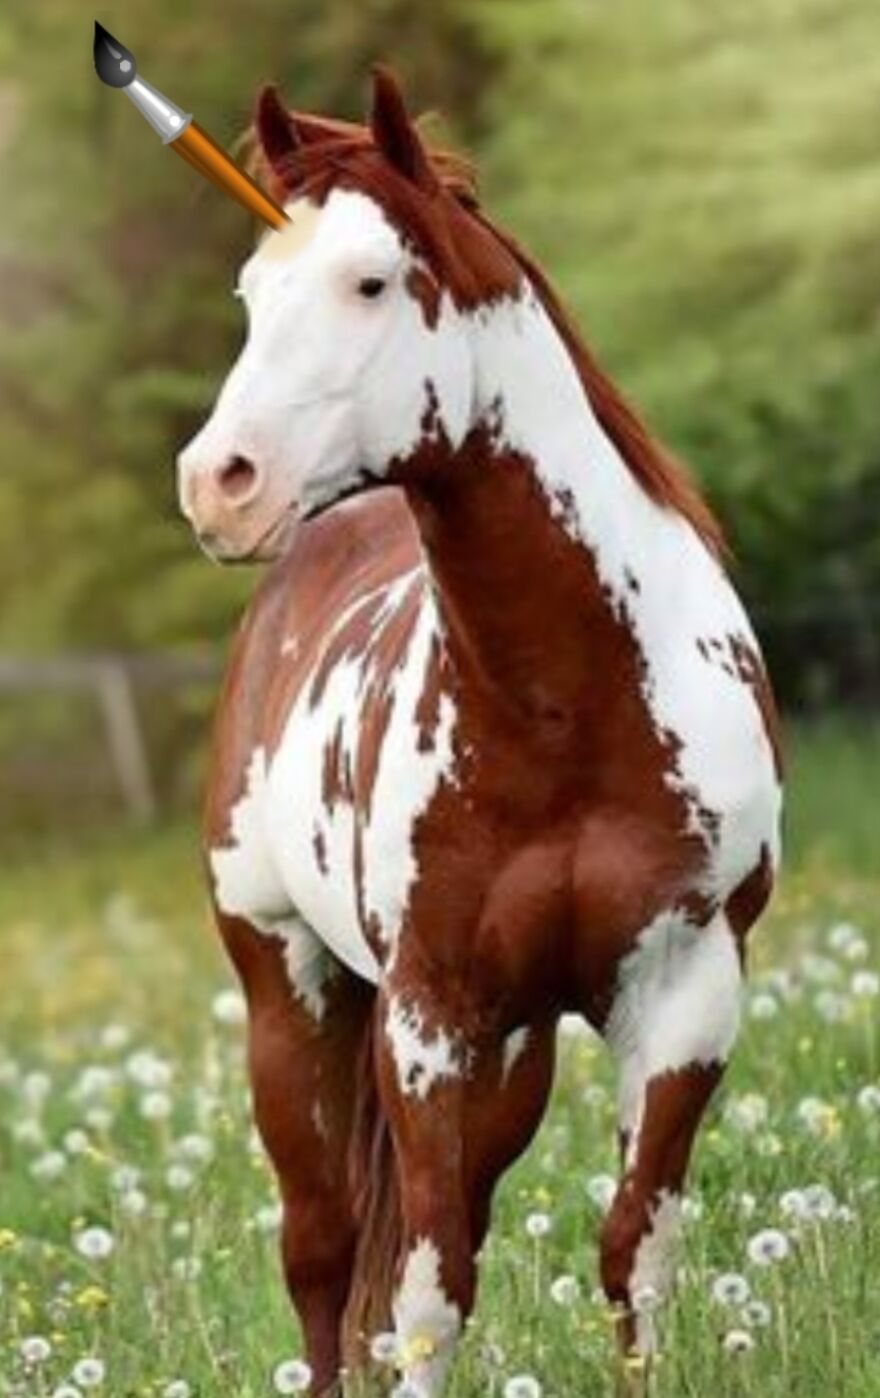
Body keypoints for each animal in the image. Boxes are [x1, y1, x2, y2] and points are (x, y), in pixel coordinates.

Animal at [175, 68, 783, 1397]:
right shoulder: (427, 1019)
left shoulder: (685, 994)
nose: (218, 483)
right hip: (288, 991)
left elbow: (631, 1253)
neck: (565, 707)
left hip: (516, 1053)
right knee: (323, 1252)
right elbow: (426, 1288)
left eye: (369, 282)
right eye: (247, 294)